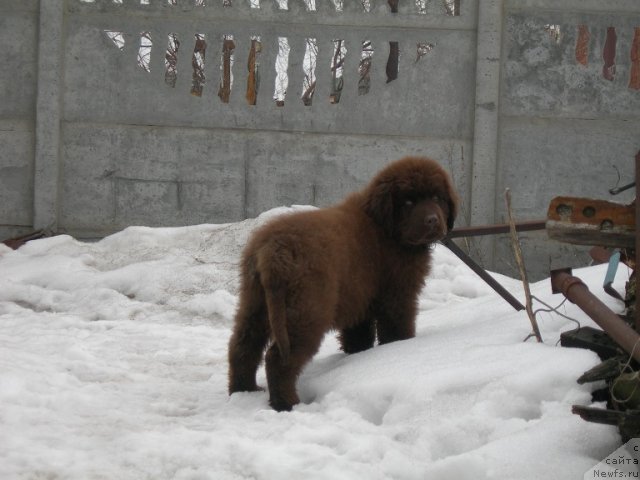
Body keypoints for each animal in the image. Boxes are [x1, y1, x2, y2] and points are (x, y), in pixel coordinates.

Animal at [228, 156, 458, 410]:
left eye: (437, 198)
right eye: (408, 201)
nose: (432, 220)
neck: (384, 227)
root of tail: (272, 249)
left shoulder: (358, 300)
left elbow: (358, 337)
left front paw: (357, 356)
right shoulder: (397, 294)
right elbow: (396, 329)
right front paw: (399, 349)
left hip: (255, 301)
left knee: (242, 348)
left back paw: (243, 391)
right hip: (306, 308)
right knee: (277, 358)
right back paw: (287, 404)